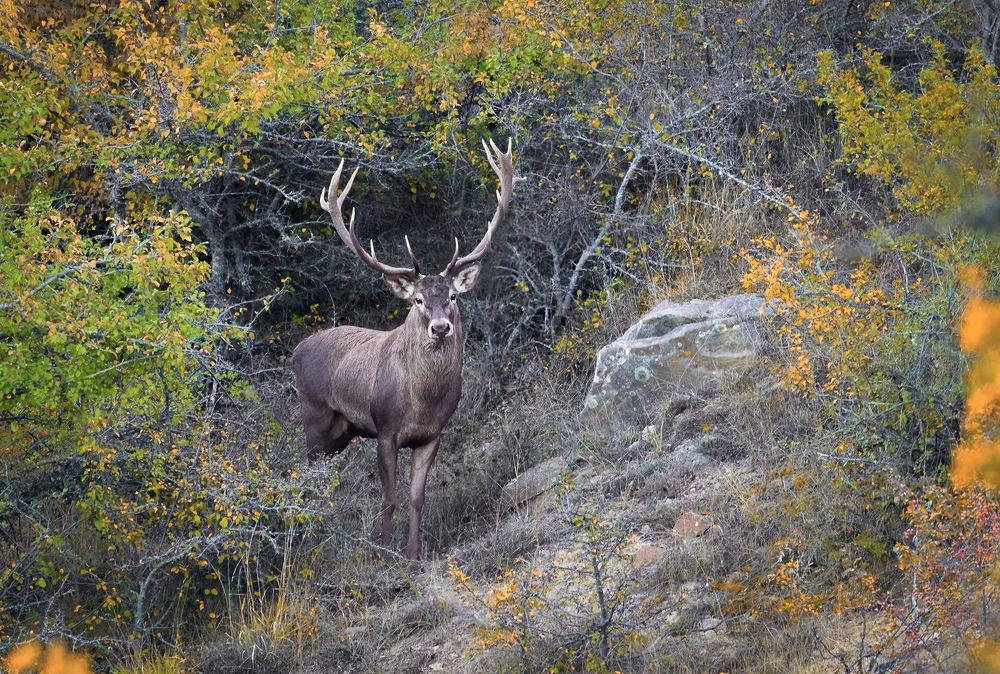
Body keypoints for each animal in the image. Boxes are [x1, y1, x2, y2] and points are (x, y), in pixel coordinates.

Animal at [292, 139, 518, 561]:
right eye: (417, 300)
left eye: (451, 296)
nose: (440, 327)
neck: (422, 401)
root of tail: (295, 351)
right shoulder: (385, 429)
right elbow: (389, 499)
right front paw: (382, 550)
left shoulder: (432, 435)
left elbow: (416, 498)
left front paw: (414, 555)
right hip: (314, 417)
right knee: (306, 476)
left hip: (341, 431)